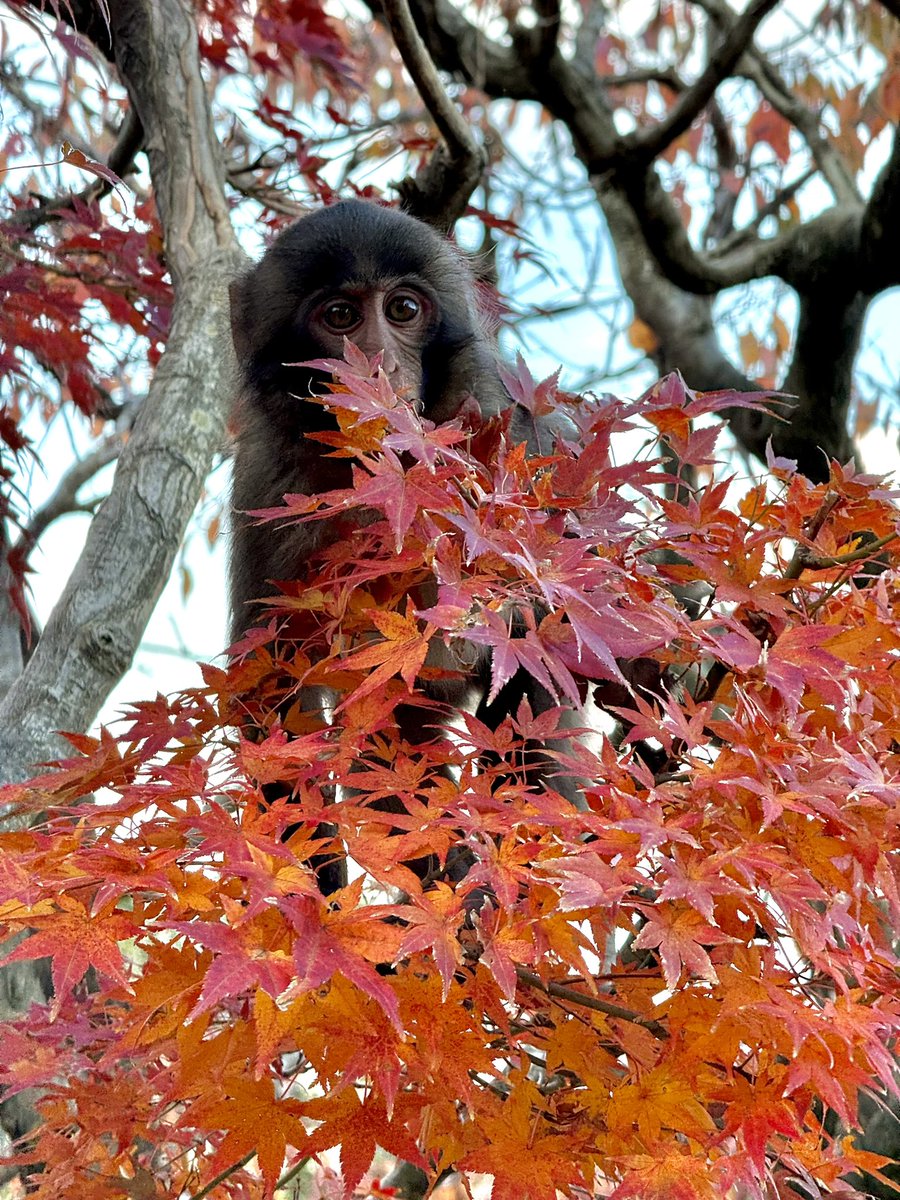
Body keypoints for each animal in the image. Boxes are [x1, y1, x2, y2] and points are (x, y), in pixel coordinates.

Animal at [228, 199, 586, 895]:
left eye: (402, 309)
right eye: (340, 317)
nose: (377, 366)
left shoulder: (509, 426)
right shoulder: (264, 491)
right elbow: (273, 699)